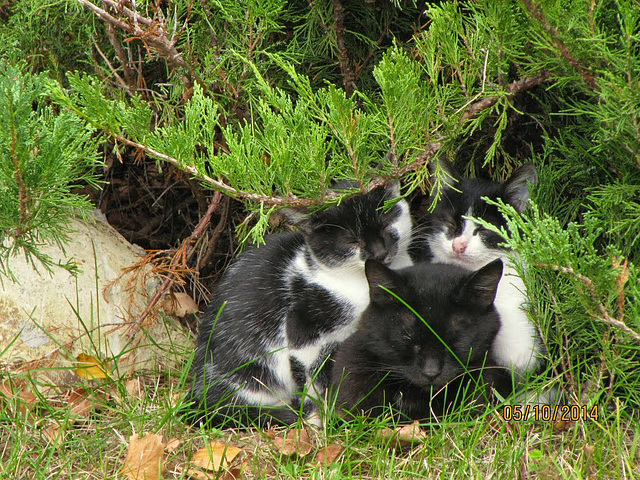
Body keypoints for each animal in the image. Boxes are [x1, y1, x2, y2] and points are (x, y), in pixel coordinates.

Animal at [188, 184, 412, 428]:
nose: (380, 253)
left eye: (386, 223)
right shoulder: (301, 326)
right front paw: (318, 420)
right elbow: (311, 377)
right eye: (351, 241)